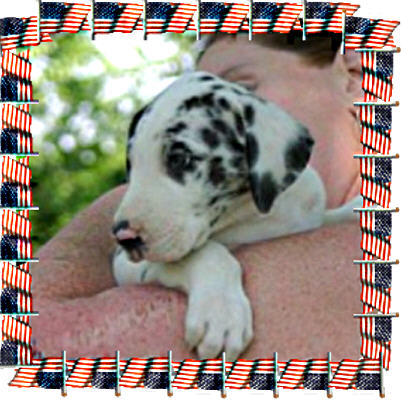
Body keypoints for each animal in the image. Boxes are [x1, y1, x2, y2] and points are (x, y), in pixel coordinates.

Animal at [112, 71, 359, 360]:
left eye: (180, 159)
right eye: (131, 165)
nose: (124, 237)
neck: (248, 216)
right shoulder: (126, 265)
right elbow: (209, 253)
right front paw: (221, 313)